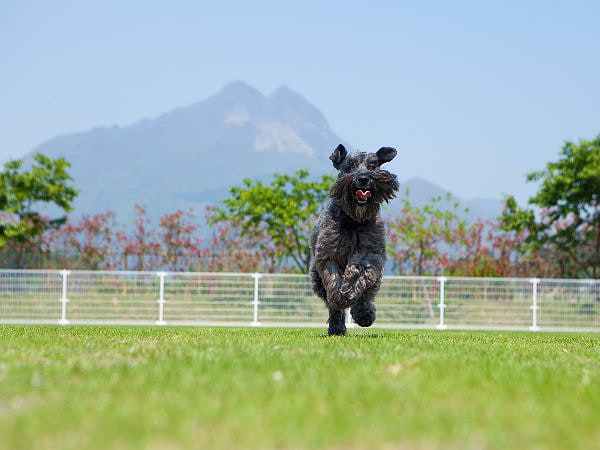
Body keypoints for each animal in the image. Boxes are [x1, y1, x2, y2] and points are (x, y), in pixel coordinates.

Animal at [310, 144, 398, 334]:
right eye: (349, 166)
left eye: (373, 165)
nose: (363, 178)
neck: (354, 221)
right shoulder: (329, 254)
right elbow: (334, 282)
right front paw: (341, 296)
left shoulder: (371, 252)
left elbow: (361, 272)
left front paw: (352, 291)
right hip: (316, 278)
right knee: (331, 304)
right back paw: (337, 325)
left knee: (367, 293)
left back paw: (364, 314)